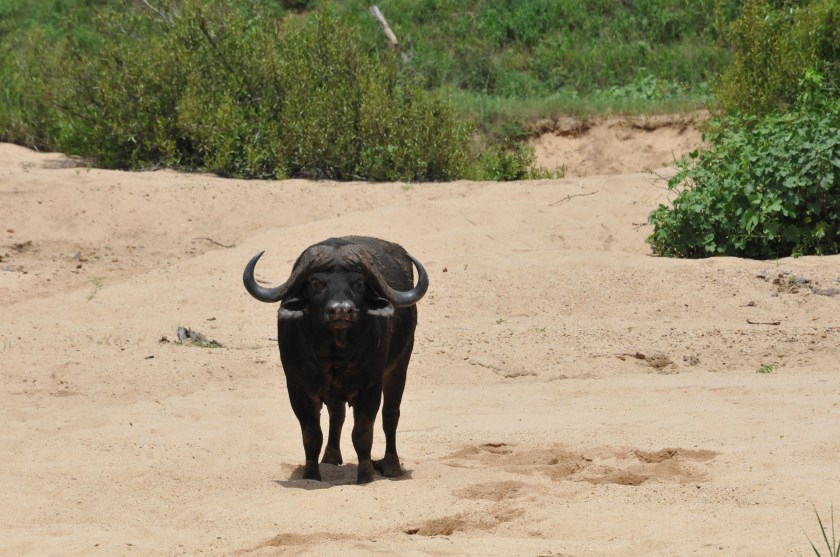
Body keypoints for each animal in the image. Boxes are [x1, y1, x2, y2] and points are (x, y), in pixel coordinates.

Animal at [243, 236, 428, 484]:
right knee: (337, 414)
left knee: (391, 414)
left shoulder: (370, 386)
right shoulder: (297, 388)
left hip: (400, 365)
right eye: (316, 283)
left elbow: (362, 433)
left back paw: (391, 465)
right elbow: (311, 434)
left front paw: (365, 476)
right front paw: (311, 475)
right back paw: (330, 457)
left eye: (359, 283)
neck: (335, 353)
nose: (341, 311)